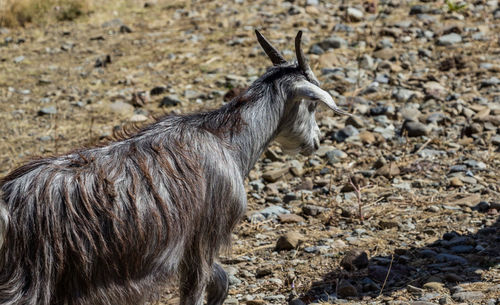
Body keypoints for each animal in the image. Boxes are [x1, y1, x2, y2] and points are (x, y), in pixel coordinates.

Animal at [0, 30, 348, 304]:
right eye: (312, 104)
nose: (316, 141)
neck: (227, 140)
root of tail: (7, 202)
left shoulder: (191, 247)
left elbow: (220, 282)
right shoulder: (205, 234)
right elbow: (201, 289)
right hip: (30, 281)